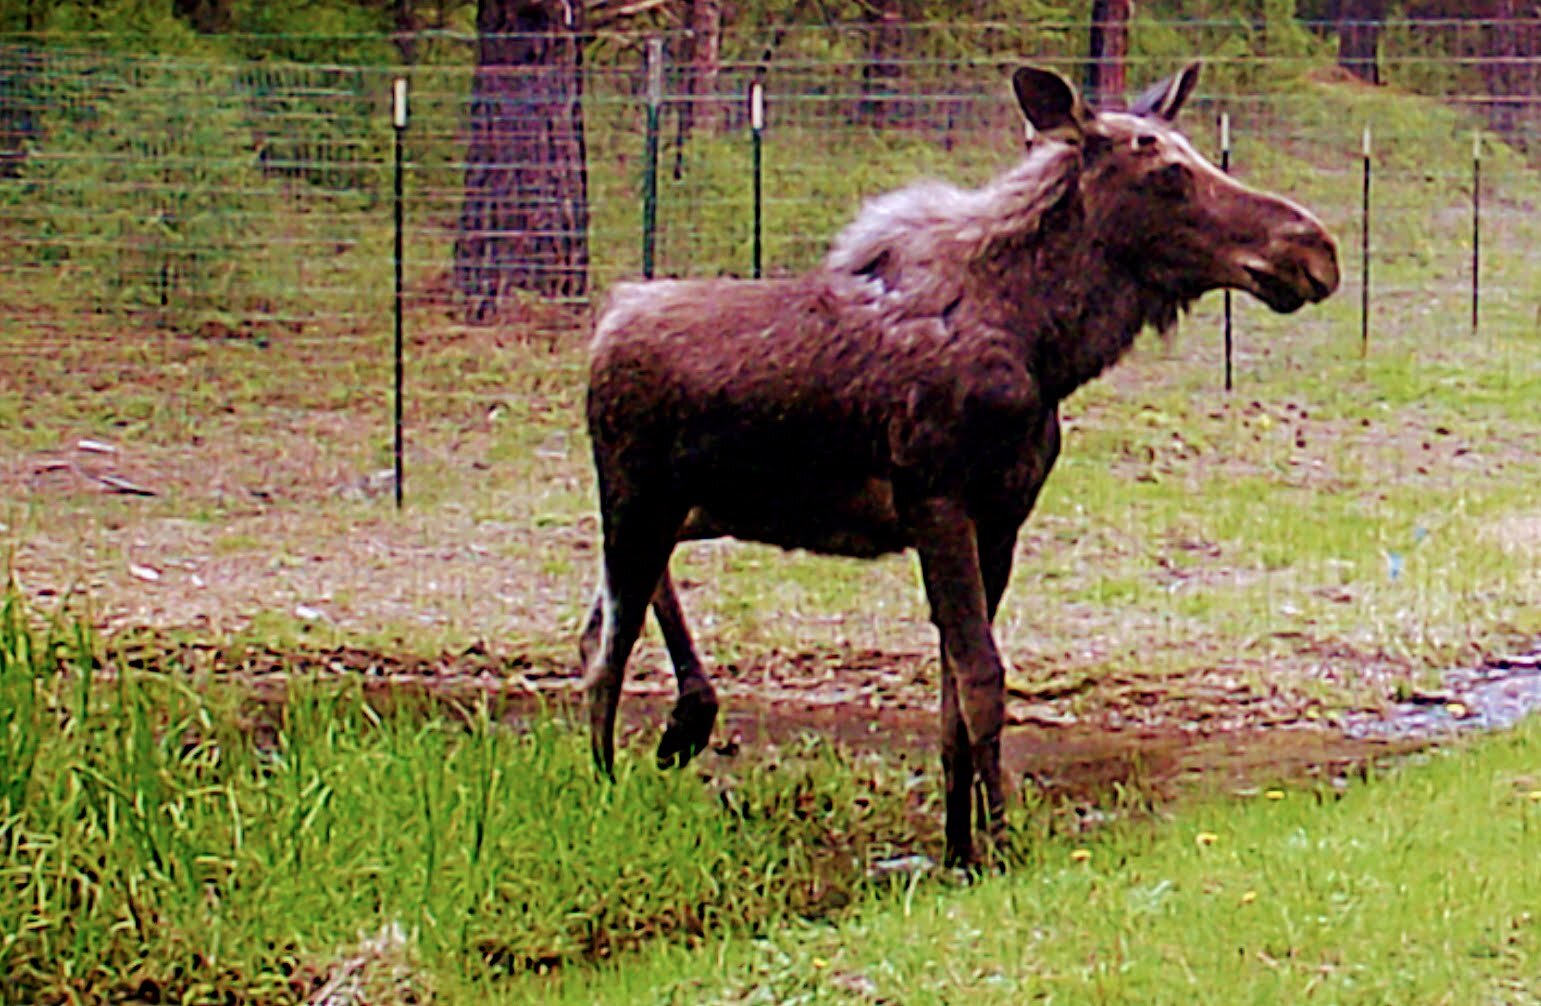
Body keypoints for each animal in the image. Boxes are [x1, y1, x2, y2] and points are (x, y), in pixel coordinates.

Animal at [579, 62, 1337, 862]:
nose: (1315, 250)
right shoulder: (937, 502)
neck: (1044, 347)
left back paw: (682, 724)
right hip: (636, 501)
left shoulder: (1000, 520)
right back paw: (607, 787)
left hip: (692, 510)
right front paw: (998, 845)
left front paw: (958, 849)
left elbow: (952, 694)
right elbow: (981, 679)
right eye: (1166, 170)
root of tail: (606, 321)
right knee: (606, 651)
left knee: (603, 619)